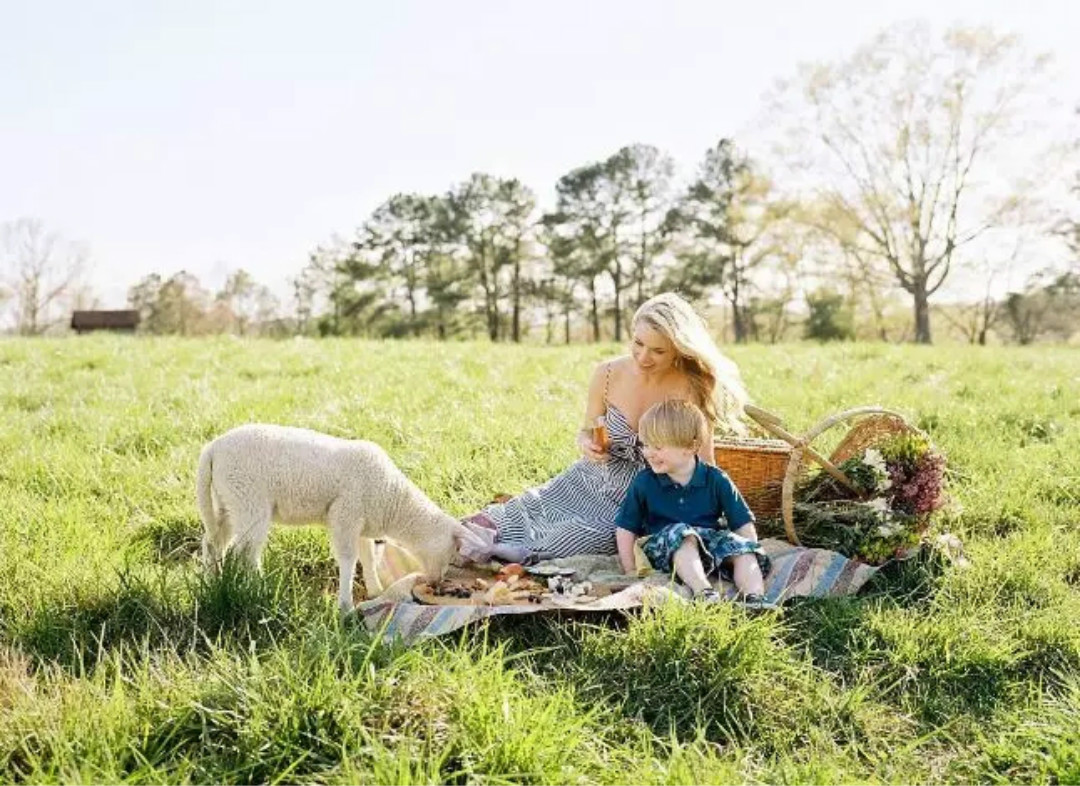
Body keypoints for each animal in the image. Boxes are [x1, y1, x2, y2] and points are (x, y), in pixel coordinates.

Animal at [195, 423, 473, 608]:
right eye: (452, 552)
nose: (437, 582)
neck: (392, 499)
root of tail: (212, 449)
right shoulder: (345, 513)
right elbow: (348, 559)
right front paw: (345, 606)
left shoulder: (361, 521)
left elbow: (367, 557)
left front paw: (375, 590)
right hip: (248, 499)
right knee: (244, 552)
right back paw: (255, 588)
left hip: (228, 502)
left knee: (213, 543)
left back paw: (212, 582)